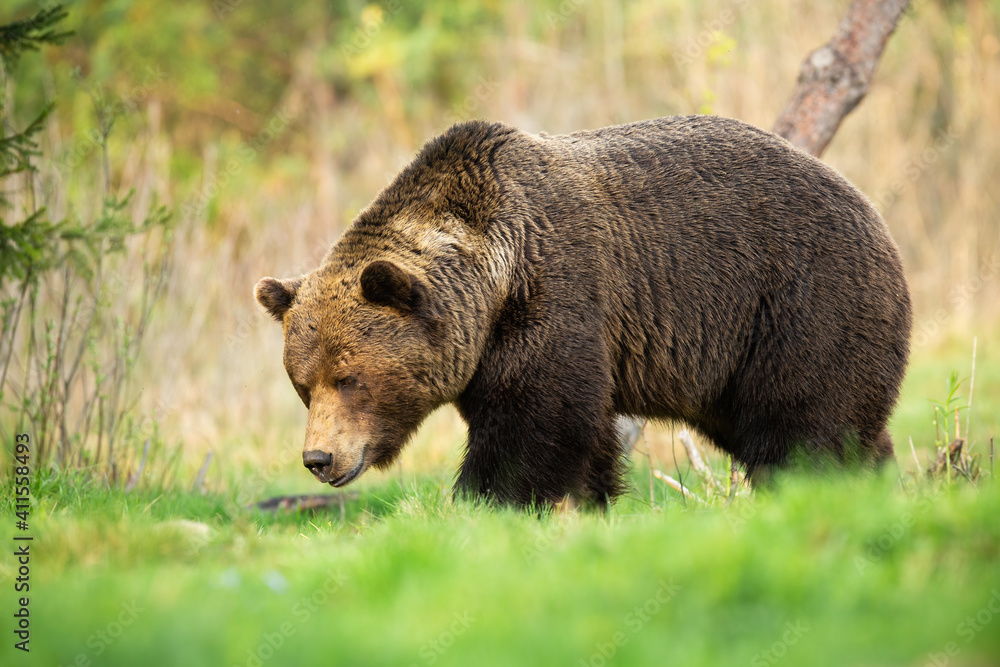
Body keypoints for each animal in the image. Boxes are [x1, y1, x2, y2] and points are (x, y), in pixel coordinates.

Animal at [255, 115, 912, 507]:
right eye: (302, 385)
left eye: (350, 377)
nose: (318, 458)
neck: (491, 281)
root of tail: (875, 214)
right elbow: (585, 437)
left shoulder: (557, 296)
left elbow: (535, 426)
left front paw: (482, 503)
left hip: (799, 304)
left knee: (804, 426)